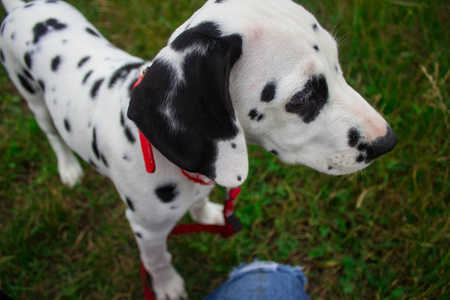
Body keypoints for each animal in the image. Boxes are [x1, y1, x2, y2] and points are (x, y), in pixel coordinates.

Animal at [0, 0, 394, 298]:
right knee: (52, 136)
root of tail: (23, 8)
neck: (163, 155)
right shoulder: (146, 229)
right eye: (302, 97)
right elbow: (158, 261)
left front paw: (207, 214)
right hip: (33, 99)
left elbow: (201, 203)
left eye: (338, 64)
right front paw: (168, 285)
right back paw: (68, 168)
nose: (387, 141)